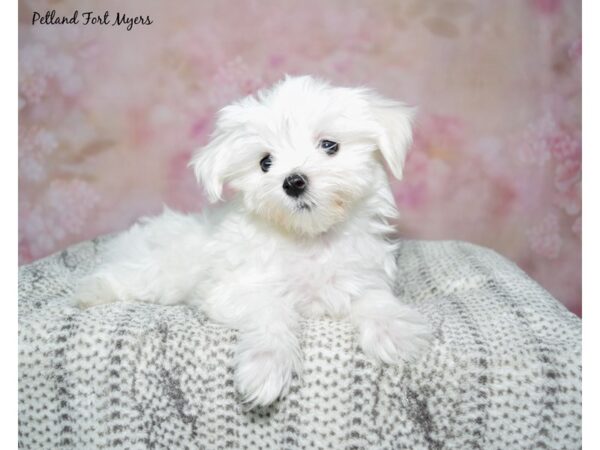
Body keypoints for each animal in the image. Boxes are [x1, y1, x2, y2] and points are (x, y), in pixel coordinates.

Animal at [74, 74, 432, 408]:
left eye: (330, 145)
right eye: (265, 163)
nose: (294, 181)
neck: (308, 238)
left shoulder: (362, 278)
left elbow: (374, 300)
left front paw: (394, 331)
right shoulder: (234, 290)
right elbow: (272, 309)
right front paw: (267, 366)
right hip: (162, 272)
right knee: (126, 276)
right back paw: (89, 292)